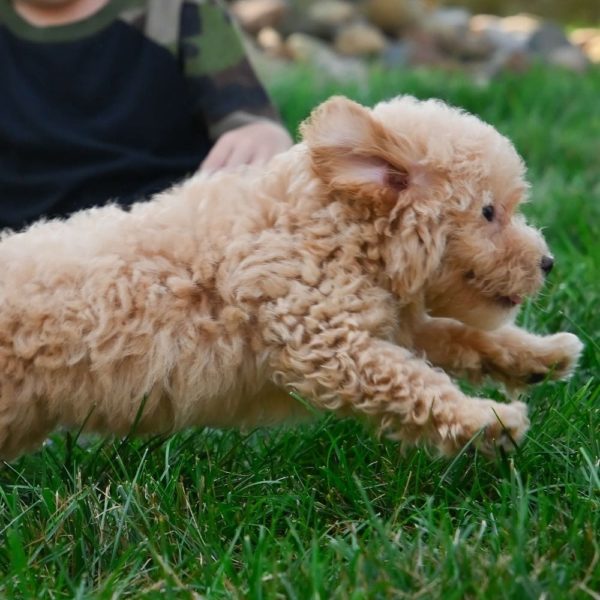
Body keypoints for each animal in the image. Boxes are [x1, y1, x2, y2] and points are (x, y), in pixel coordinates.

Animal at [0, 95, 584, 460]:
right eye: (489, 213)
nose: (549, 263)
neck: (331, 224)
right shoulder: (325, 339)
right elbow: (414, 381)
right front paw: (487, 420)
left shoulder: (396, 322)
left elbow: (463, 337)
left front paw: (541, 355)